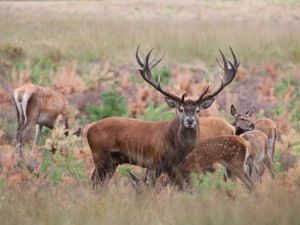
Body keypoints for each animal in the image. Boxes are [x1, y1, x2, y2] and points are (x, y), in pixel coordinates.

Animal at [85, 45, 240, 185]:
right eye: (180, 109)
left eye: (197, 110)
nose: (190, 121)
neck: (179, 150)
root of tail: (89, 129)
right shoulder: (155, 163)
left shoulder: (178, 168)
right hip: (100, 156)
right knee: (94, 182)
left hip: (112, 162)